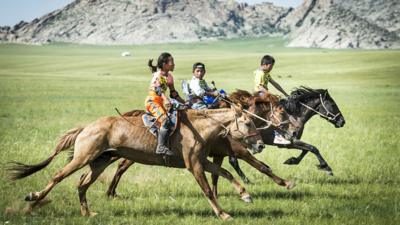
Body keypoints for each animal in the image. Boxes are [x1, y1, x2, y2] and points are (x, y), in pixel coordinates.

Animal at [7, 104, 262, 221]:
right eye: (247, 122)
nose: (259, 145)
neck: (200, 128)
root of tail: (86, 127)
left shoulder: (201, 162)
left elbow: (226, 173)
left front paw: (245, 195)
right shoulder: (194, 166)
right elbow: (208, 190)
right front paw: (224, 214)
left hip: (99, 162)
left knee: (82, 184)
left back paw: (87, 214)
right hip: (83, 158)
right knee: (58, 176)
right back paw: (32, 201)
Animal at [104, 89, 296, 199]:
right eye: (281, 111)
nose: (292, 132)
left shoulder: (219, 155)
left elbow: (217, 174)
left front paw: (218, 195)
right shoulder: (241, 152)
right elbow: (262, 168)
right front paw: (287, 183)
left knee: (119, 165)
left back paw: (111, 192)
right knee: (120, 166)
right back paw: (110, 192)